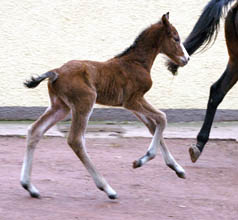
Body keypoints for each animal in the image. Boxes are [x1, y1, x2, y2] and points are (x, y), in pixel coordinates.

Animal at [21, 12, 190, 200]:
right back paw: (107, 188)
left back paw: (29, 186)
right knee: (75, 140)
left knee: (35, 131)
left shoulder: (132, 105)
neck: (137, 62)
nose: (186, 59)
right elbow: (162, 117)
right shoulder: (133, 100)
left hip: (60, 107)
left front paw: (177, 168)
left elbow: (153, 126)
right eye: (176, 38)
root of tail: (55, 72)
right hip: (85, 101)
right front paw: (143, 159)